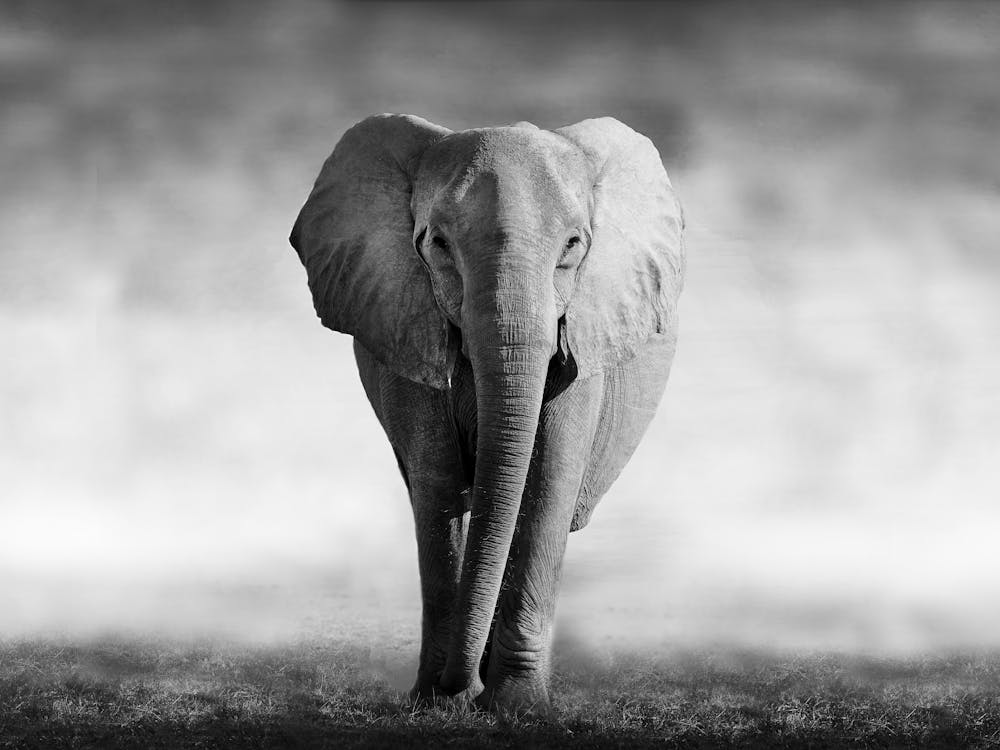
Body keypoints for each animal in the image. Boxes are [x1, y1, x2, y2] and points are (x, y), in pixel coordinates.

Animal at [289, 114, 685, 713]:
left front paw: (516, 706)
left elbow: (545, 483)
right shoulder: (407, 324)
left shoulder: (583, 335)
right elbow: (438, 482)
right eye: (438, 243)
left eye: (573, 245)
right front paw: (440, 701)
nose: (462, 688)